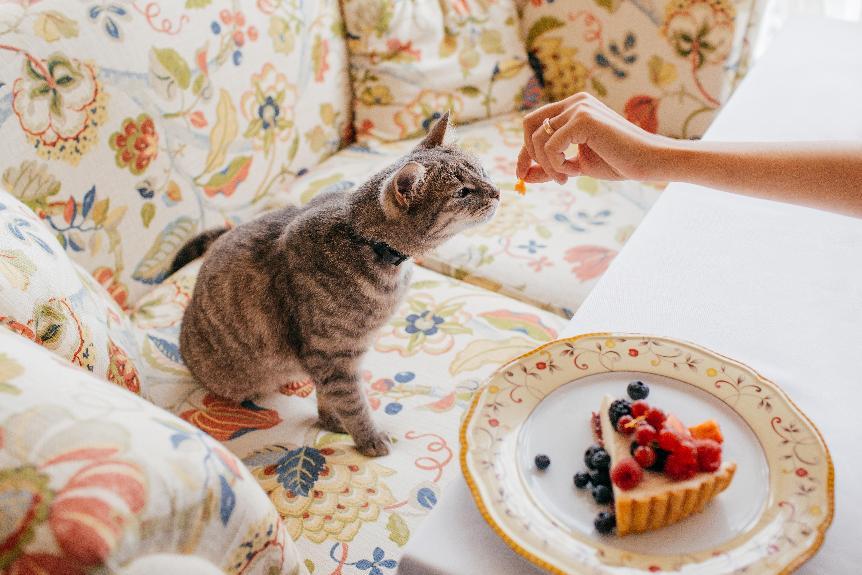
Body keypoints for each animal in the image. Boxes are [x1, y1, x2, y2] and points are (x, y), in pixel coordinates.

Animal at [169, 111, 500, 454]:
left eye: (481, 171)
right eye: (462, 192)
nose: (497, 191)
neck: (365, 240)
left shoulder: (340, 356)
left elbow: (330, 398)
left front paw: (331, 422)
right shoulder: (332, 355)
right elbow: (352, 403)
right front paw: (368, 438)